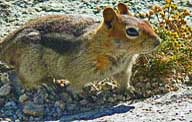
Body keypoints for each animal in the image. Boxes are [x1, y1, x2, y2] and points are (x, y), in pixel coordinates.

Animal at [0, 3, 160, 93]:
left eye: (147, 22)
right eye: (131, 31)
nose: (158, 42)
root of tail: (5, 46)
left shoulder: (124, 69)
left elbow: (124, 80)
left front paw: (129, 90)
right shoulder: (76, 70)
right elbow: (76, 84)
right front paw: (79, 93)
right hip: (30, 63)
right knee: (23, 77)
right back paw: (43, 85)